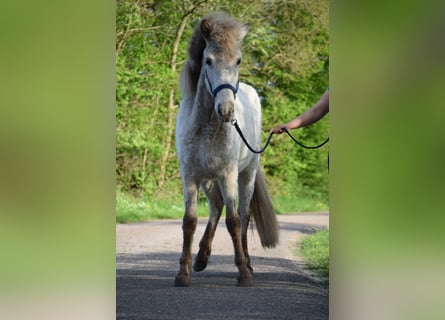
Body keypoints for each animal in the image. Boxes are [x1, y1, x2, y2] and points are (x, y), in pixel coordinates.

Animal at [173, 12, 278, 288]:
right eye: (208, 61)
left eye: (238, 60)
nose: (227, 110)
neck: (205, 126)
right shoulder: (190, 176)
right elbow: (189, 221)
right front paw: (183, 273)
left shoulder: (228, 175)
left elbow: (234, 222)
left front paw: (243, 273)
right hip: (209, 180)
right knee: (216, 207)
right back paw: (201, 258)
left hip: (245, 176)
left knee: (242, 214)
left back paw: (248, 264)